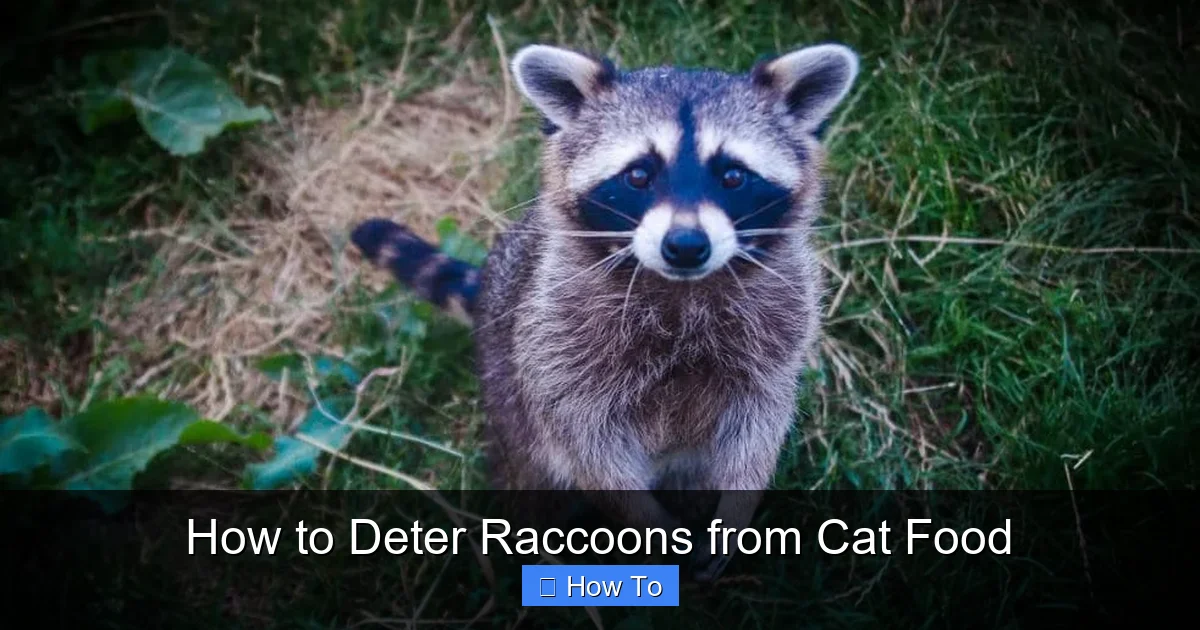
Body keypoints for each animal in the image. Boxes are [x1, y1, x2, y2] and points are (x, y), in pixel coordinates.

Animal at [351, 42, 858, 579]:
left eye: (733, 175)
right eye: (638, 174)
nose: (686, 246)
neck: (679, 288)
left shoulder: (779, 328)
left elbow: (759, 428)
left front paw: (737, 509)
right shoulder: (557, 342)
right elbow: (589, 447)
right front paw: (649, 523)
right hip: (506, 387)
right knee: (529, 479)